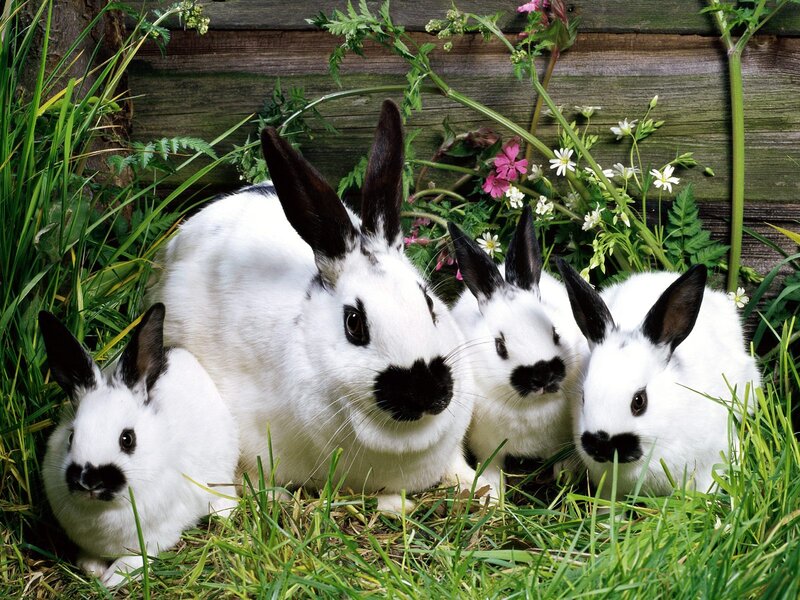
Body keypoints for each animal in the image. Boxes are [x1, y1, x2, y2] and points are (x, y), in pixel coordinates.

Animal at [39, 304, 239, 587]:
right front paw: (91, 568)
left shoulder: (156, 536)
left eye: (127, 439)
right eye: (71, 437)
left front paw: (111, 579)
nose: (90, 481)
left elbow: (136, 559)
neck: (104, 509)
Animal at [448, 206, 588, 494]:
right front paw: (492, 495)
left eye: (555, 332)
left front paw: (565, 479)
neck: (531, 407)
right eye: (500, 346)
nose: (542, 375)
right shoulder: (487, 445)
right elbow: (491, 467)